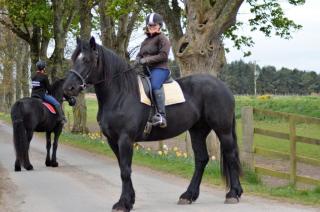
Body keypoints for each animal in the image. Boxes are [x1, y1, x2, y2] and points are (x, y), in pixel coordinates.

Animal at [63, 37, 242, 211]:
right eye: (73, 59)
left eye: (86, 60)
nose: (68, 88)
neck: (121, 94)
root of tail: (223, 87)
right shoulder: (113, 140)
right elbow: (123, 168)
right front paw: (130, 200)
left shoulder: (125, 139)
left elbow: (125, 171)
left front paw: (123, 203)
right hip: (197, 131)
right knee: (201, 159)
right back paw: (188, 195)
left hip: (223, 130)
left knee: (230, 156)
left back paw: (233, 194)